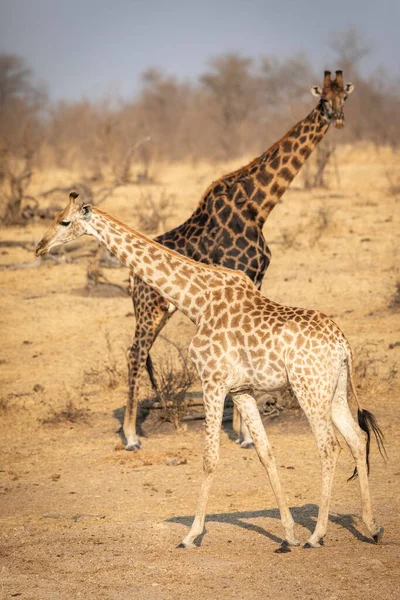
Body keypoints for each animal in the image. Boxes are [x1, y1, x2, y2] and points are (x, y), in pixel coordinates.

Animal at [36, 195, 384, 552]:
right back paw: (371, 527)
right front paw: (288, 534)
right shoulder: (241, 390)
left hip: (308, 387)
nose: (39, 246)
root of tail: (343, 344)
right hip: (334, 388)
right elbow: (265, 452)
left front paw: (191, 535)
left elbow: (209, 458)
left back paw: (317, 535)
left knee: (329, 446)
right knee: (357, 439)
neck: (196, 302)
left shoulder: (212, 381)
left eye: (64, 222)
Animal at [125, 70, 354, 450]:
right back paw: (130, 436)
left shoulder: (256, 277)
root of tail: (129, 277)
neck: (258, 206)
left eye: (344, 97)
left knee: (138, 354)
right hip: (150, 309)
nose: (337, 118)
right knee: (135, 353)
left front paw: (243, 432)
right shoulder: (244, 271)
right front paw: (244, 434)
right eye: (323, 98)